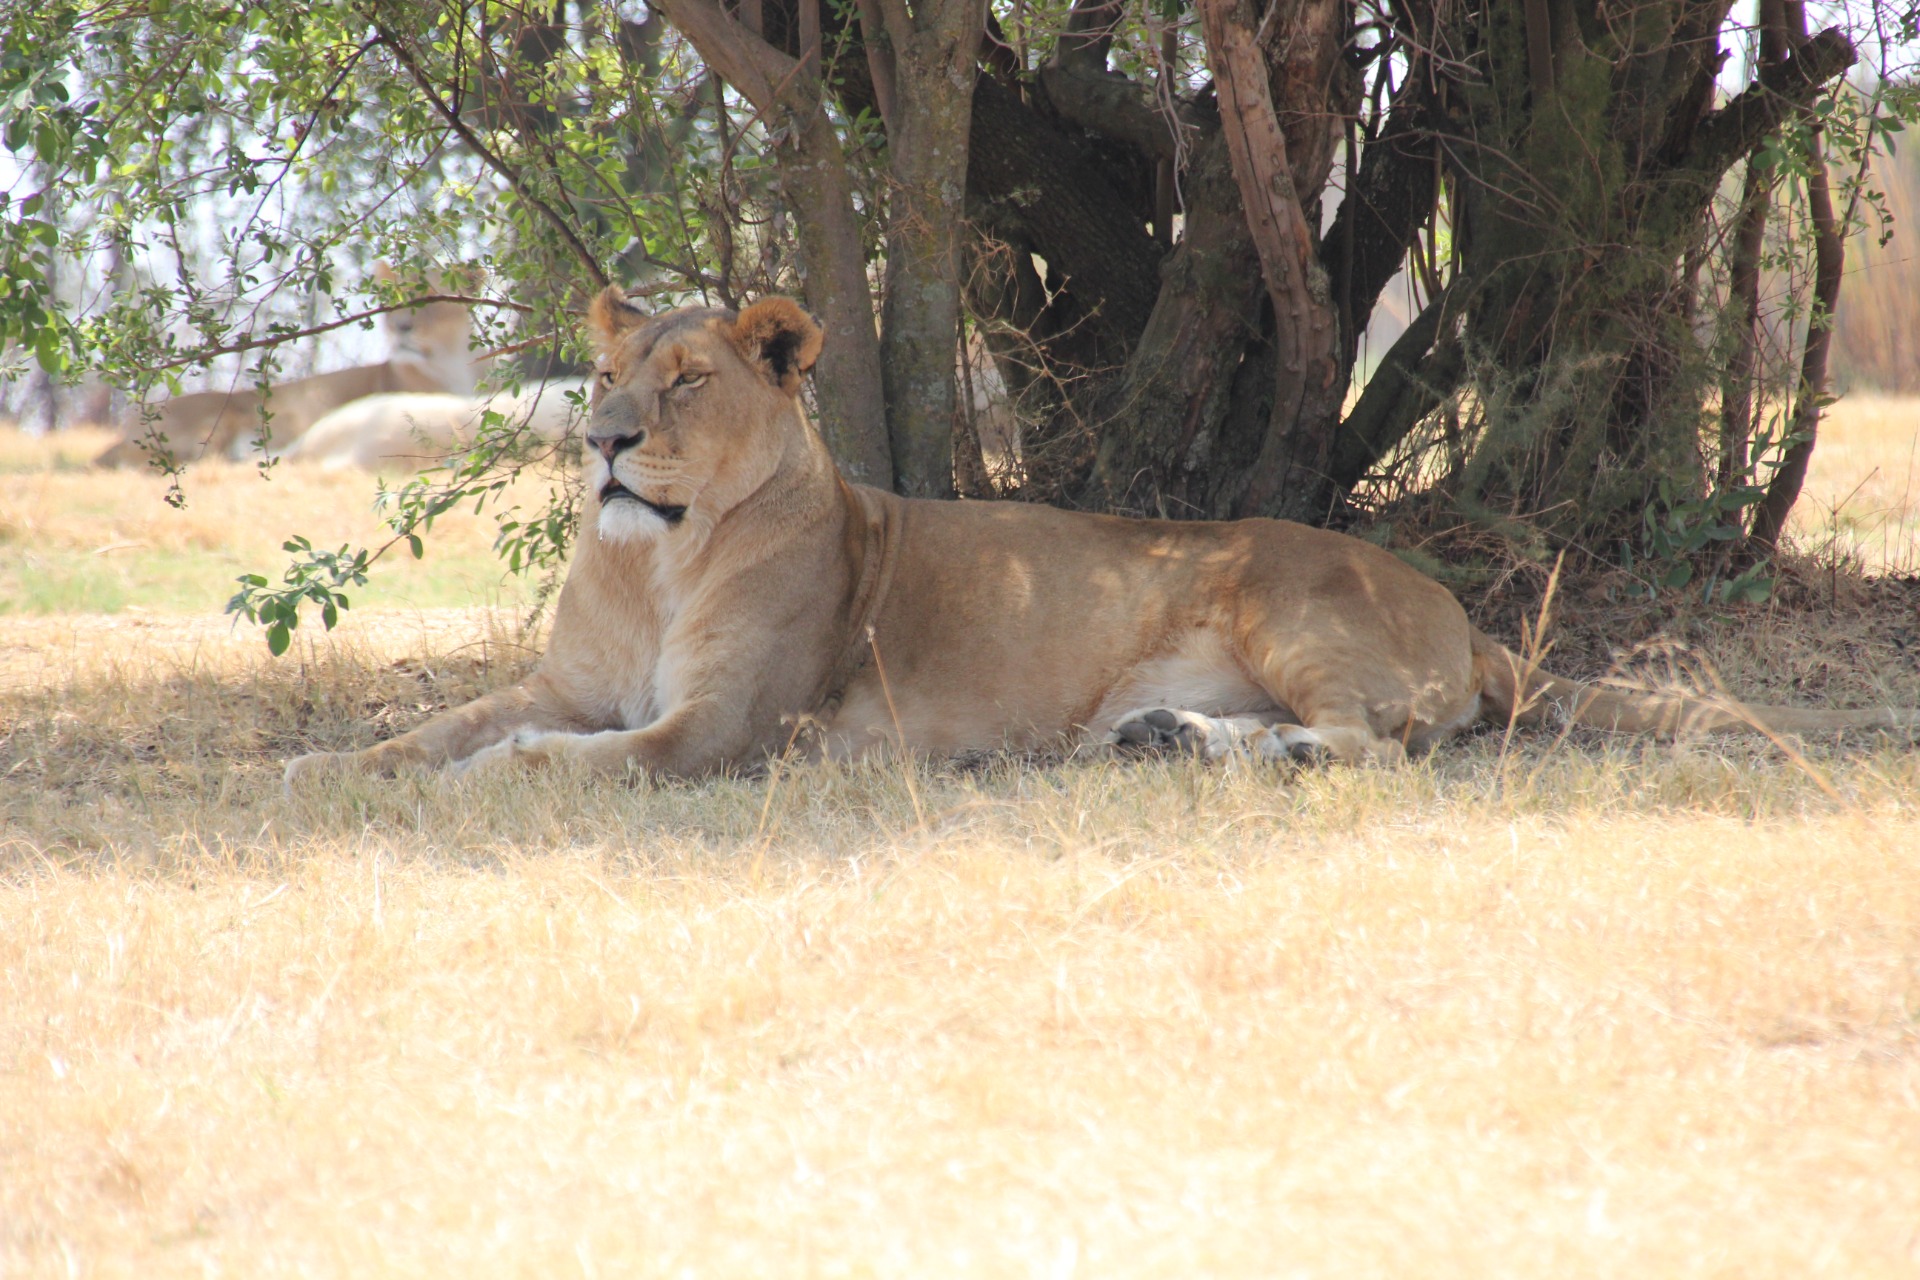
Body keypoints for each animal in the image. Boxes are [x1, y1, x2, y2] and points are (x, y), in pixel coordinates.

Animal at [284, 289, 1920, 788]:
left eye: (686, 382)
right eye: (608, 372)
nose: (605, 440)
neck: (651, 556)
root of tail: (1468, 612)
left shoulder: (721, 732)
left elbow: (555, 758)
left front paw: (477, 783)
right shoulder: (564, 681)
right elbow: (433, 724)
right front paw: (315, 770)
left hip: (1285, 598)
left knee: (1383, 743)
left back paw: (1231, 748)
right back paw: (1168, 741)